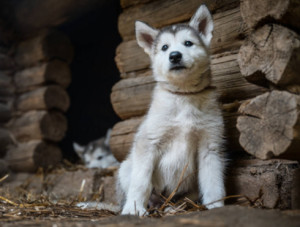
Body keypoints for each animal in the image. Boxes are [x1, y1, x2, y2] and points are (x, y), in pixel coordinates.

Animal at [117, 4, 225, 215]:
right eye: (165, 47)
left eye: (188, 43)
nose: (175, 56)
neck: (183, 96)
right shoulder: (148, 142)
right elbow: (141, 181)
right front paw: (134, 209)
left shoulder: (210, 146)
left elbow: (213, 182)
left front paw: (216, 206)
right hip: (126, 167)